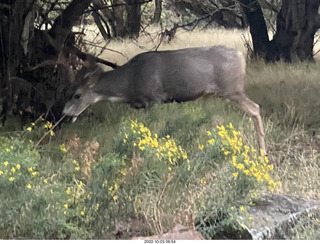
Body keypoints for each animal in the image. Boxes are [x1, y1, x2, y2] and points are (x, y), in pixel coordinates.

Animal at [63, 45, 266, 154]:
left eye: (77, 95)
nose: (65, 112)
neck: (130, 82)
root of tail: (241, 58)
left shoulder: (155, 98)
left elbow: (154, 129)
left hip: (232, 89)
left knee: (255, 108)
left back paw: (262, 152)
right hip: (213, 95)